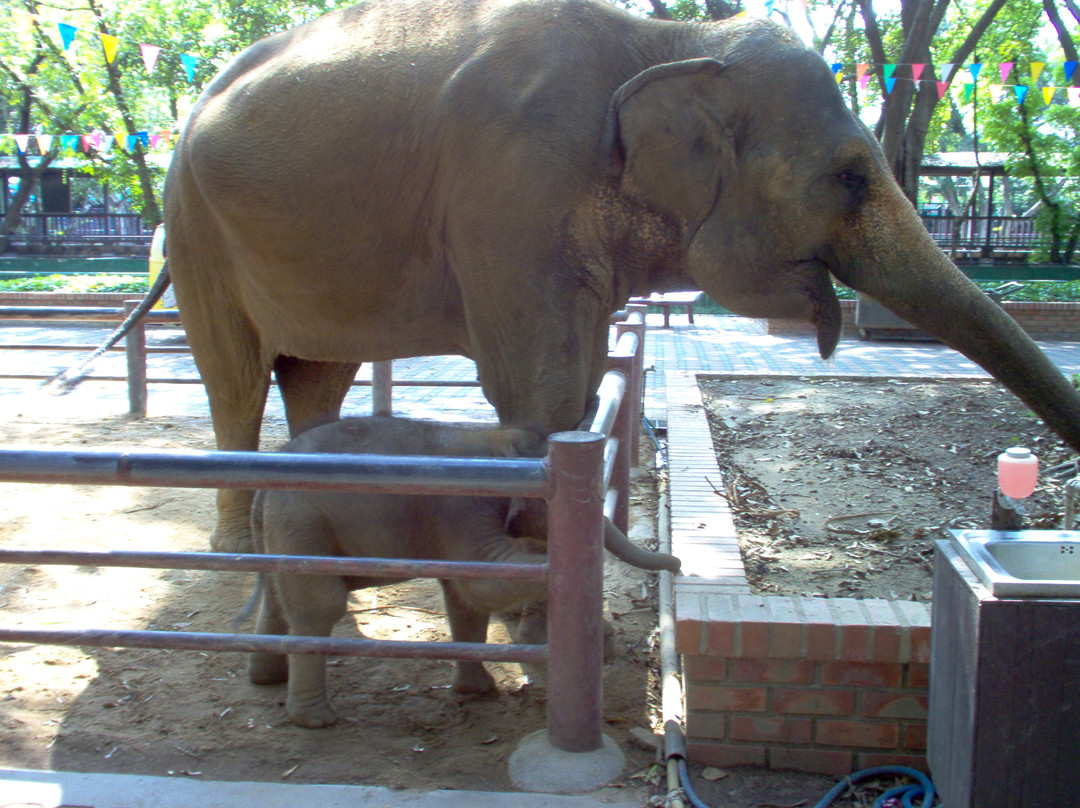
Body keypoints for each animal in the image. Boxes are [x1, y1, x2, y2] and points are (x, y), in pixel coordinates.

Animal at [164, 0, 1080, 553]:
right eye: (852, 177)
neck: (669, 42)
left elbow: (578, 381)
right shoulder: (510, 189)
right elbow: (538, 387)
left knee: (315, 375)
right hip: (192, 229)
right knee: (237, 382)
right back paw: (239, 552)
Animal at [246, 415, 679, 728]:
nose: (676, 564)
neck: (493, 438)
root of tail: (262, 491)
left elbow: (464, 600)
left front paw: (478, 692)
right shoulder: (463, 508)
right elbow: (482, 583)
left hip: (284, 533)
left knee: (277, 601)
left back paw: (266, 679)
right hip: (302, 523)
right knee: (320, 606)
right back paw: (315, 719)